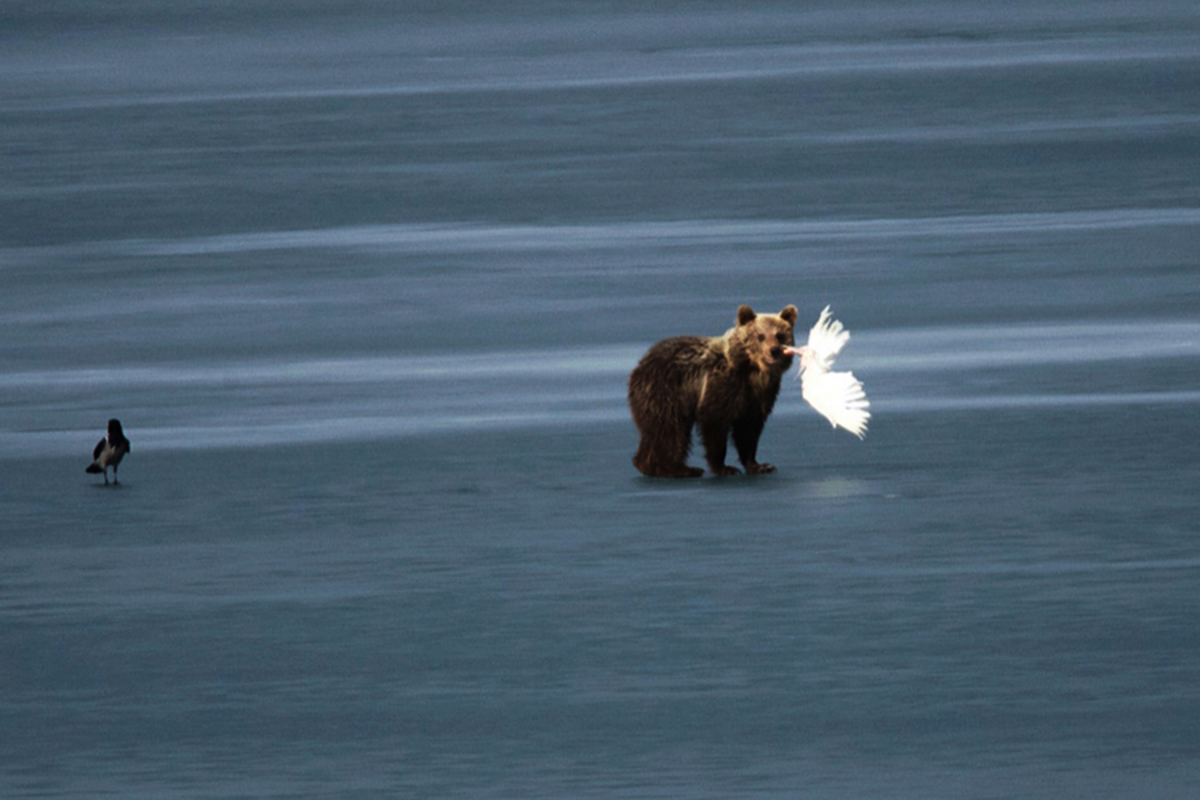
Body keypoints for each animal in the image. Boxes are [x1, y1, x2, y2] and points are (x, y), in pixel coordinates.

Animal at [628, 303, 796, 479]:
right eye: (760, 336)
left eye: (780, 335)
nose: (774, 350)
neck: (752, 370)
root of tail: (639, 366)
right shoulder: (722, 385)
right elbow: (715, 421)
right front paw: (724, 467)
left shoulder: (760, 395)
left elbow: (749, 429)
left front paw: (760, 465)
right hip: (665, 394)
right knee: (671, 431)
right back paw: (681, 469)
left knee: (655, 433)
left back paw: (647, 464)